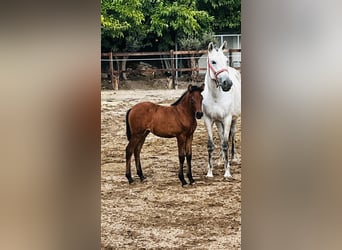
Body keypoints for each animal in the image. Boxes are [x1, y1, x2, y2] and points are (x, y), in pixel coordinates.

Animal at [202, 41, 242, 178]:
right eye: (213, 62)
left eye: (226, 60)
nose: (227, 83)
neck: (216, 97)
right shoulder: (208, 119)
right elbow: (210, 145)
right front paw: (209, 172)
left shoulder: (227, 118)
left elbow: (225, 144)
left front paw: (227, 172)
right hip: (218, 122)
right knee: (220, 136)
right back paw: (220, 160)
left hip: (234, 119)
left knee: (232, 135)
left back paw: (234, 158)